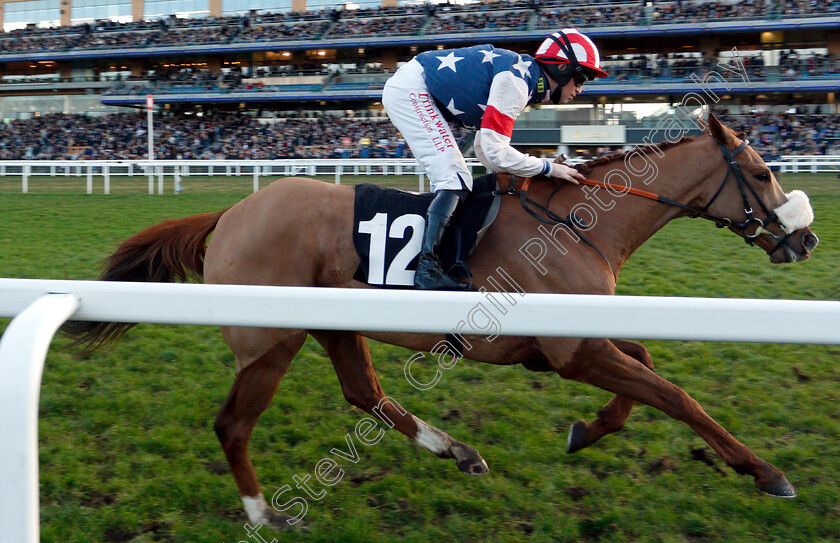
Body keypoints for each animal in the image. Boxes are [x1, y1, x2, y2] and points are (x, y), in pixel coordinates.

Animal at [64, 116, 812, 532]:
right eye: (760, 172)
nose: (802, 240)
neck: (578, 222)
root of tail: (230, 214)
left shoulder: (570, 340)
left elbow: (648, 370)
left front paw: (589, 429)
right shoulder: (572, 349)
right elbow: (677, 395)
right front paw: (765, 470)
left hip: (332, 324)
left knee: (365, 394)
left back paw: (457, 449)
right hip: (269, 343)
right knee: (232, 425)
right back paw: (264, 512)